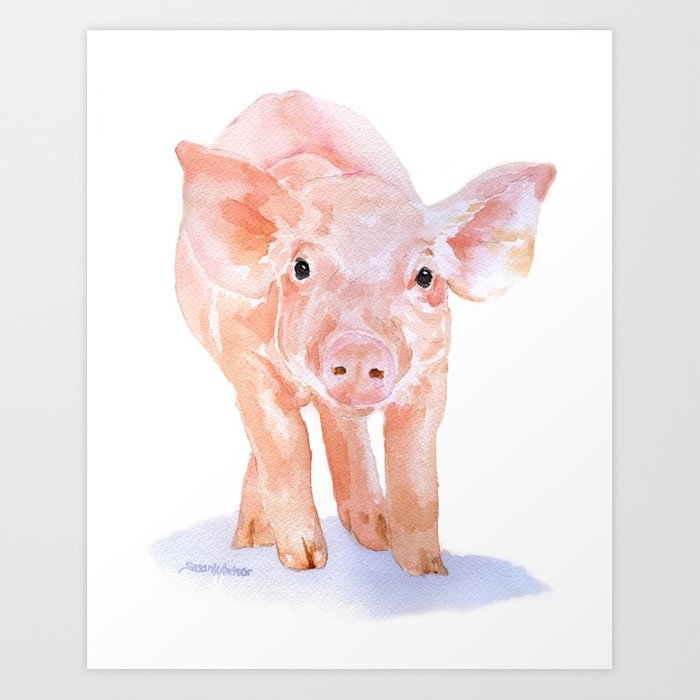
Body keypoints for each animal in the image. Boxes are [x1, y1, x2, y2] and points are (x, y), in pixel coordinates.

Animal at [175, 91, 555, 575]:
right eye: (301, 268)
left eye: (426, 275)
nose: (358, 346)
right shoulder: (245, 360)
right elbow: (284, 445)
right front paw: (304, 564)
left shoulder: (434, 370)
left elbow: (416, 474)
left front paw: (426, 572)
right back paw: (252, 542)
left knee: (343, 427)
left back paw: (372, 535)